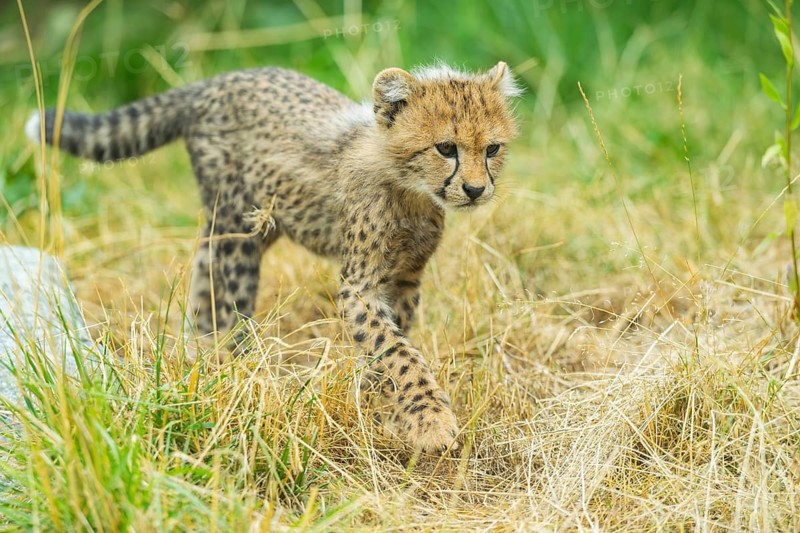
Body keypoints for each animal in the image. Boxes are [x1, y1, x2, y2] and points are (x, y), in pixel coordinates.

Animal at [25, 62, 520, 452]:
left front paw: (374, 401)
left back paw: (200, 359)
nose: (475, 189)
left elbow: (389, 347)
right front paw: (429, 421)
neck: (410, 189)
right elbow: (397, 352)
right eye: (445, 148)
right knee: (230, 302)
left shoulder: (405, 282)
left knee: (204, 275)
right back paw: (239, 370)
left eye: (492, 149)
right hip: (238, 226)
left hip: (249, 223)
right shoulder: (359, 285)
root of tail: (220, 80)